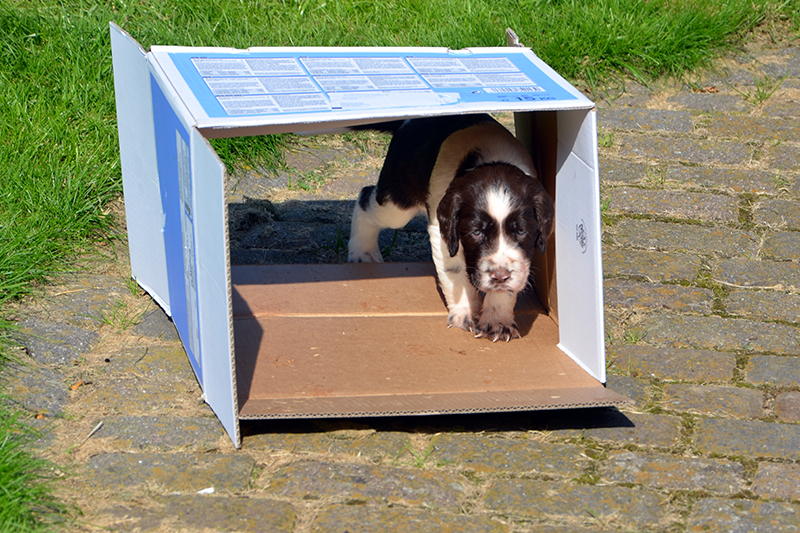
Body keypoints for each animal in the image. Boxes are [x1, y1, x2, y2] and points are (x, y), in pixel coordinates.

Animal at [346, 114, 552, 342]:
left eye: (521, 232)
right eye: (476, 233)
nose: (499, 276)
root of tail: (408, 121)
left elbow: (511, 278)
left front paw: (498, 321)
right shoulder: (442, 231)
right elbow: (455, 272)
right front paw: (465, 313)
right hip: (397, 202)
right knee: (366, 198)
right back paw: (362, 254)